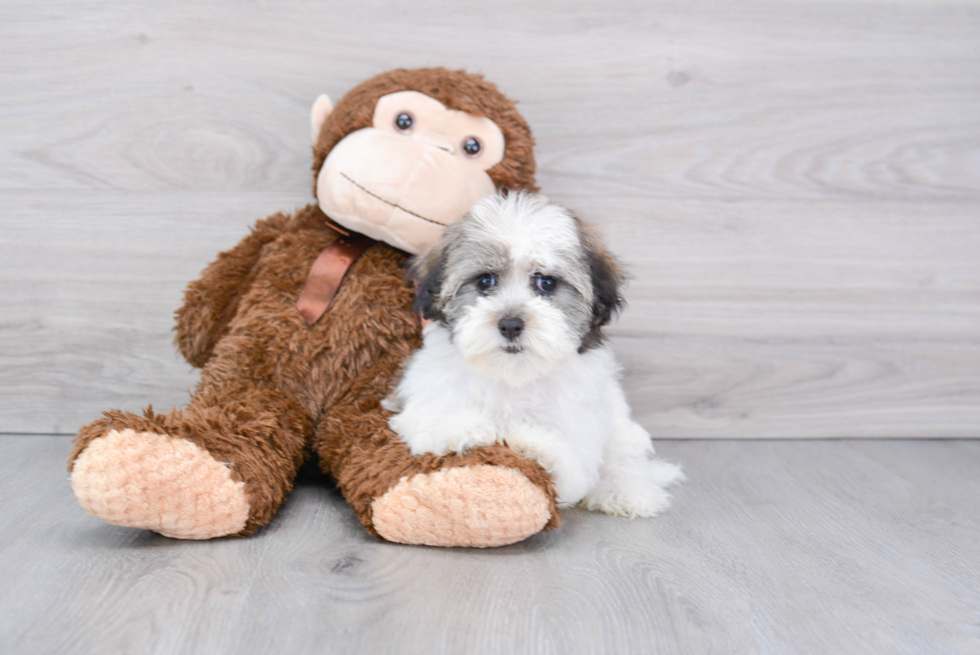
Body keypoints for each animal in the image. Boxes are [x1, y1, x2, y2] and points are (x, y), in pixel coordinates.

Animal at [382, 192, 680, 516]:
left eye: (546, 283)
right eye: (485, 281)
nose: (510, 324)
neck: (513, 374)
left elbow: (571, 470)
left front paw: (536, 446)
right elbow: (433, 416)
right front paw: (462, 427)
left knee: (623, 457)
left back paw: (626, 490)